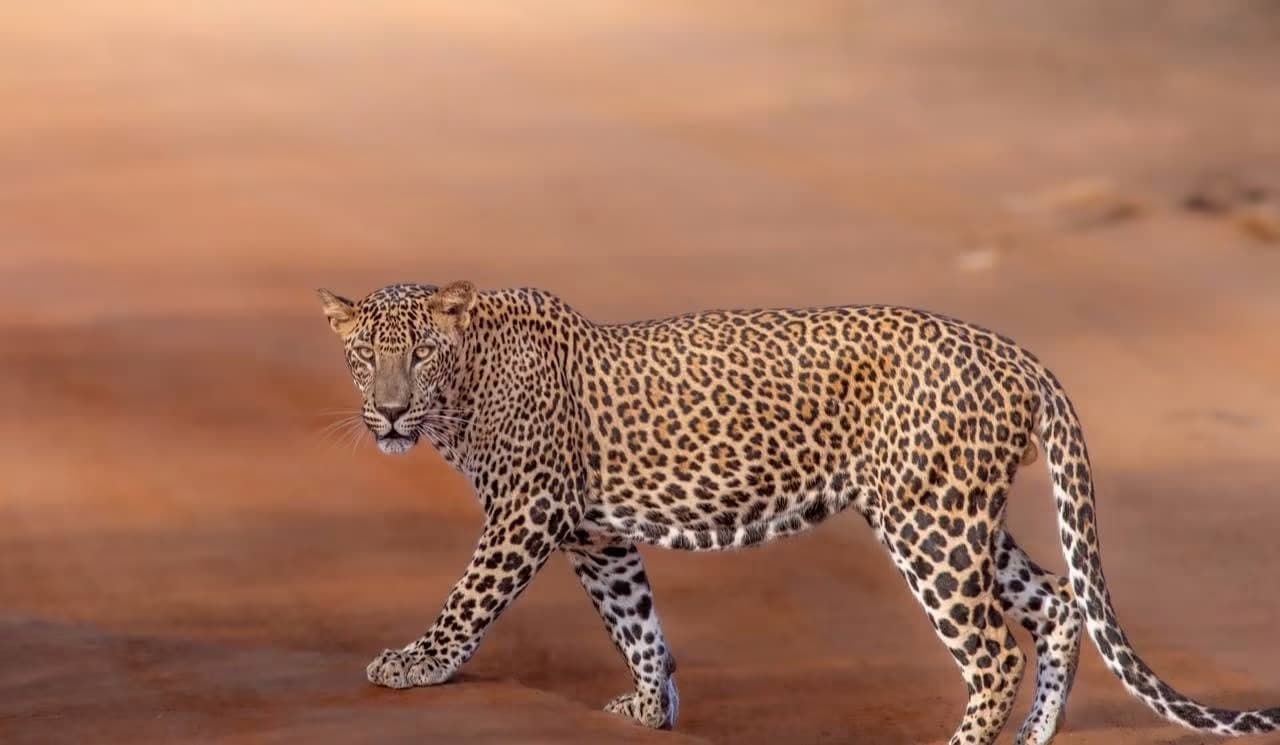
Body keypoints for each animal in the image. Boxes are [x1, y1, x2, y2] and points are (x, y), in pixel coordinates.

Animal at [317, 280, 1280, 744]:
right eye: (366, 358)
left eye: (420, 354)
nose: (390, 414)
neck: (466, 387)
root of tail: (1018, 353)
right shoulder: (597, 535)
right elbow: (636, 621)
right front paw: (651, 706)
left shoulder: (527, 512)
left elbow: (467, 599)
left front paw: (415, 663)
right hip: (963, 514)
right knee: (1057, 606)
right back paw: (1035, 738)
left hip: (930, 525)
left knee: (994, 648)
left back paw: (966, 742)